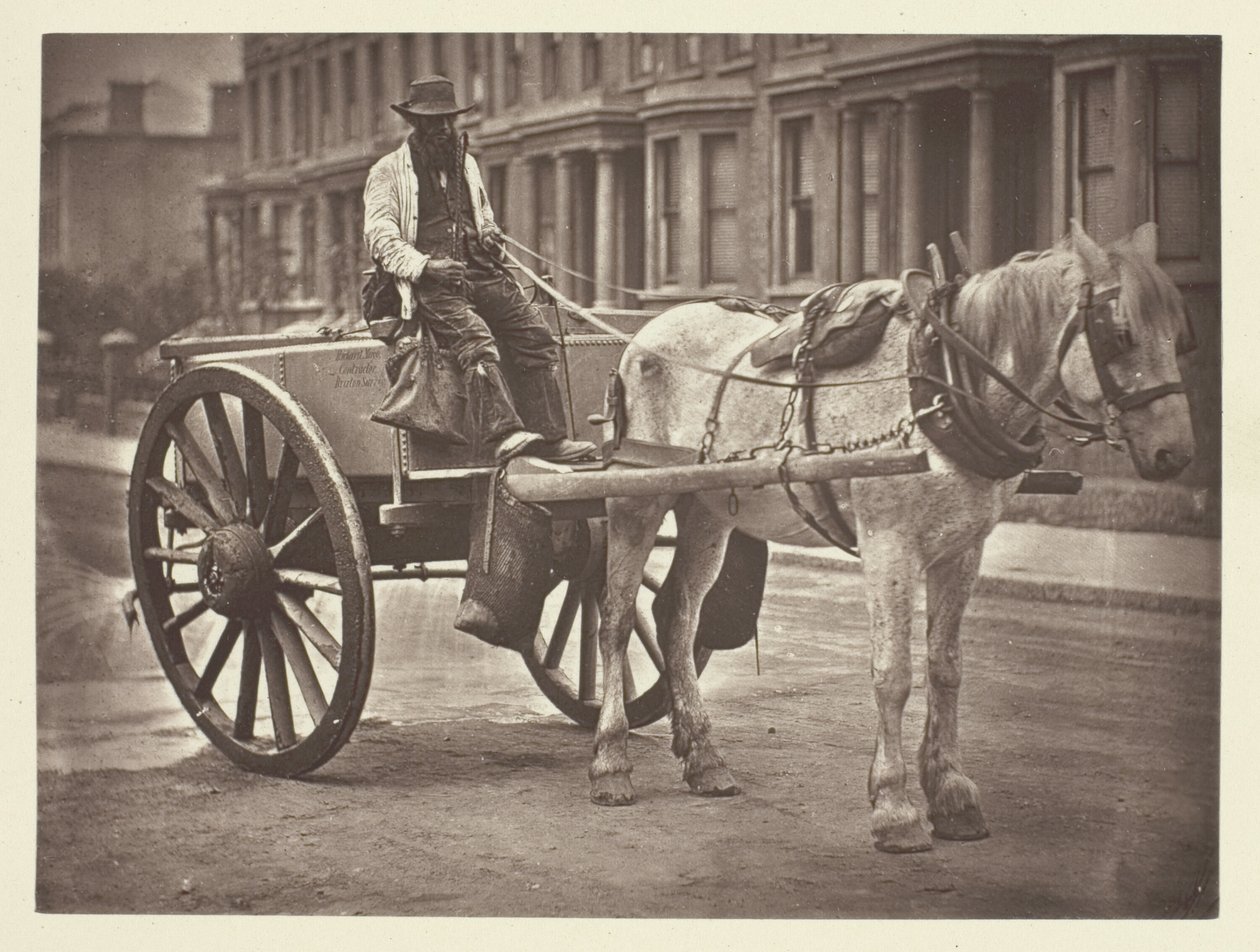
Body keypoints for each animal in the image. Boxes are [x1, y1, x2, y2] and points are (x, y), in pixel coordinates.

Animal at [584, 221, 1194, 856]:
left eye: (1180, 337)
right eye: (1120, 335)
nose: (1175, 454)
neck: (945, 387)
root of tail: (641, 337)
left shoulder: (963, 549)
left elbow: (946, 667)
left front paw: (951, 794)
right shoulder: (889, 542)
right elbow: (893, 673)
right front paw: (895, 807)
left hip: (706, 507)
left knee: (677, 618)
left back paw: (704, 757)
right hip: (634, 498)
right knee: (616, 620)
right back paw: (610, 761)